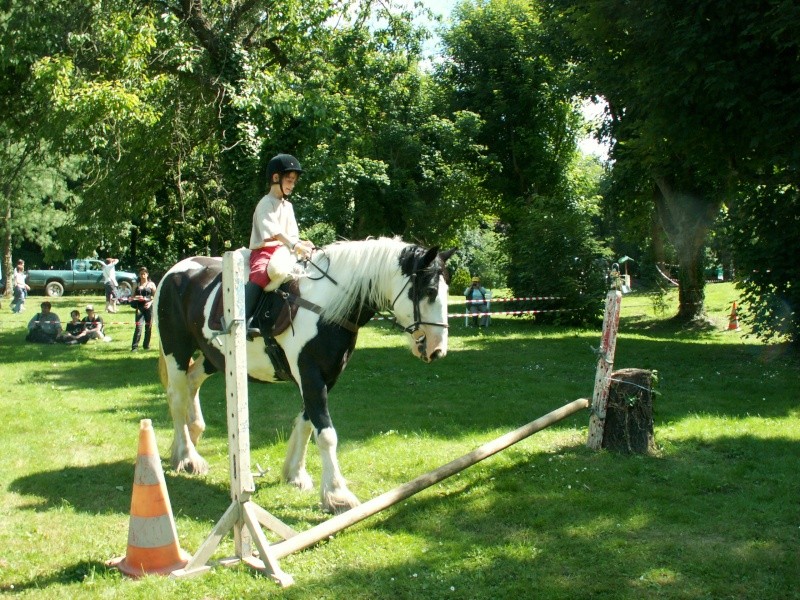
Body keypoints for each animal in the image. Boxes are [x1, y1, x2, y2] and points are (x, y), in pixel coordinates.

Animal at [154, 237, 454, 512]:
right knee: (177, 397)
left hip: (214, 357)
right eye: (429, 291)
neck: (325, 306)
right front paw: (337, 494)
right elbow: (326, 434)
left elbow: (307, 423)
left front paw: (295, 473)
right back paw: (187, 457)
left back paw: (192, 437)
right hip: (176, 350)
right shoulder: (310, 376)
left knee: (192, 383)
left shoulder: (325, 378)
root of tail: (174, 273)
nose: (437, 349)